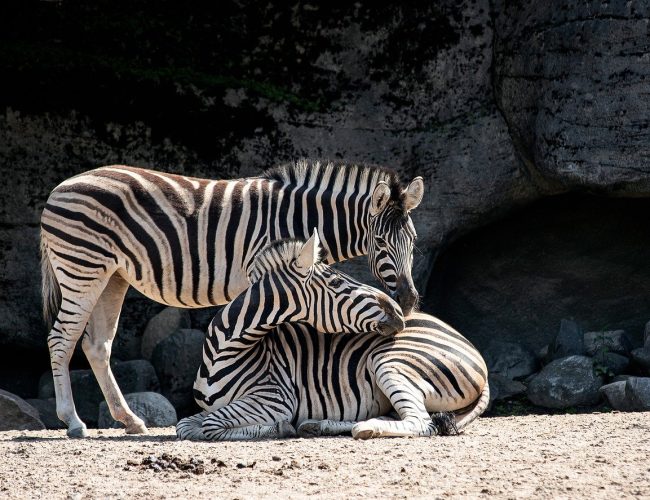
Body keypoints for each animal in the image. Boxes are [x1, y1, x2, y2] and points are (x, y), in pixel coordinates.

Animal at [41, 158, 426, 436]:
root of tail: (59, 189)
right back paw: (73, 421)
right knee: (61, 339)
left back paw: (130, 420)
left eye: (414, 240)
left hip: (112, 276)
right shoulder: (263, 272)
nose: (408, 301)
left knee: (96, 345)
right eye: (380, 243)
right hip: (82, 267)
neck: (300, 217)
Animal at [177, 232, 486, 440]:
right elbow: (186, 426)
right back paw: (318, 424)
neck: (224, 351)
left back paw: (364, 428)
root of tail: (474, 351)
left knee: (421, 422)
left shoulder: (275, 399)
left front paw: (279, 427)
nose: (400, 311)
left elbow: (210, 426)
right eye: (338, 282)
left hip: (390, 362)